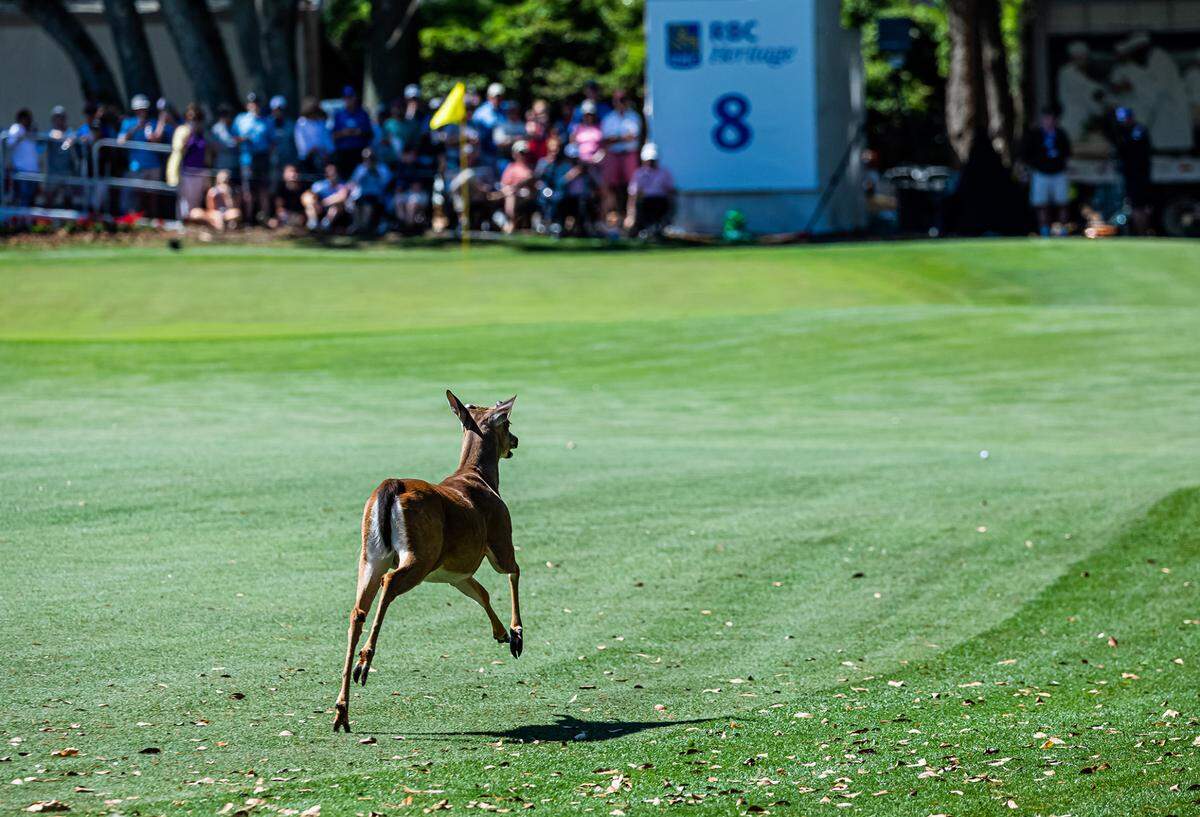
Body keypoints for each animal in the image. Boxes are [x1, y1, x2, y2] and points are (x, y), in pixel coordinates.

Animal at [332, 391, 523, 733]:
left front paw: (501, 633)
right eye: (508, 423)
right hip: (421, 553)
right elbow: (513, 571)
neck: (482, 478)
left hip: (370, 554)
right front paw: (516, 635)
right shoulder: (499, 537)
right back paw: (365, 663)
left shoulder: (454, 573)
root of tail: (391, 486)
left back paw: (342, 711)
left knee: (357, 610)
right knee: (390, 583)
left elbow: (482, 593)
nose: (515, 441)